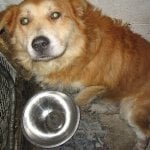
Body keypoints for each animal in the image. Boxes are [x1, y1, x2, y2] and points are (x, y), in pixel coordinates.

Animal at [0, 0, 150, 148]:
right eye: (24, 21)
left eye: (55, 15)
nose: (39, 44)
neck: (79, 51)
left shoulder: (98, 86)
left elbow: (78, 99)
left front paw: (73, 108)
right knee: (115, 108)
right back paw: (100, 107)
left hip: (131, 110)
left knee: (144, 132)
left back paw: (139, 144)